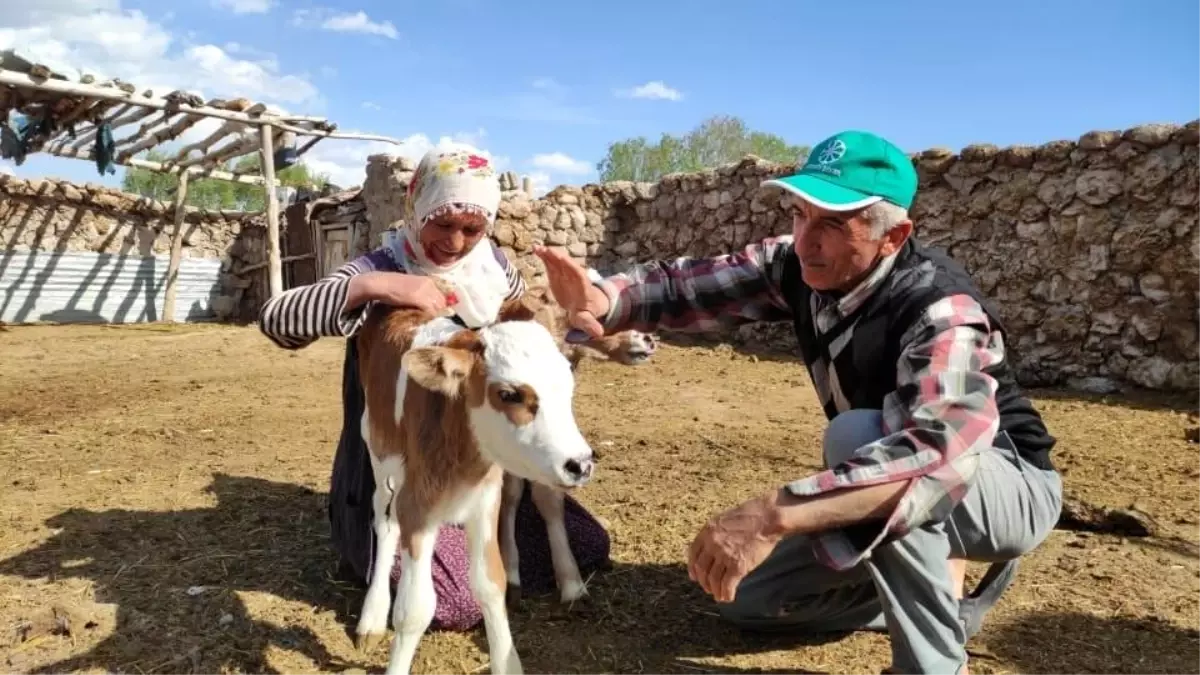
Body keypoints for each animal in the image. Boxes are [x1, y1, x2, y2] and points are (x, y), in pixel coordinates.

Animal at [355, 291, 652, 667]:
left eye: (568, 382)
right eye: (509, 394)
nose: (581, 464)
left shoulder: (486, 498)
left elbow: (490, 583)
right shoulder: (417, 504)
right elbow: (414, 609)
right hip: (378, 445)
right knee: (384, 519)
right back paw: (372, 616)